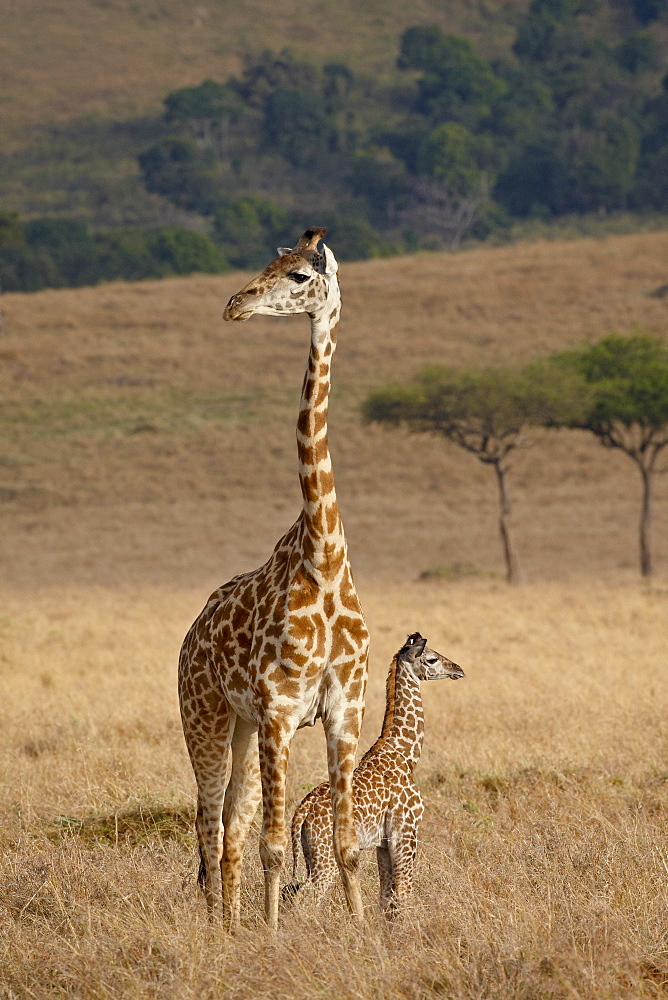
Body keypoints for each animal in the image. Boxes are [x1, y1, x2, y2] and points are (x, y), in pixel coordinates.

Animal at [177, 227, 370, 928]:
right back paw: (220, 929)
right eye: (270, 262)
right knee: (209, 823)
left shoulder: (345, 709)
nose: (235, 304)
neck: (325, 557)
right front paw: (273, 937)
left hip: (240, 727)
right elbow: (276, 847)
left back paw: (230, 926)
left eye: (297, 275)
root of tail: (190, 636)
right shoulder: (280, 710)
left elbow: (344, 843)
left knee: (229, 824)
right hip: (205, 717)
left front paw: (364, 934)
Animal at [284, 632, 464, 916]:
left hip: (310, 853)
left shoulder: (383, 843)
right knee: (304, 898)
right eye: (432, 659)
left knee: (290, 891)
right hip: (325, 857)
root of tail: (303, 810)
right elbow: (405, 893)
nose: (458, 669)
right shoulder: (406, 831)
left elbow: (386, 897)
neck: (406, 755)